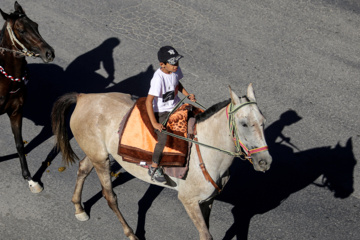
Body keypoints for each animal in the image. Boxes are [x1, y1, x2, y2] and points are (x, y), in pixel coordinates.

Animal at [0, 1, 54, 193]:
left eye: (36, 26)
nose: (49, 53)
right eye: (21, 31)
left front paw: (30, 179)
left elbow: (19, 144)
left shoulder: (16, 111)